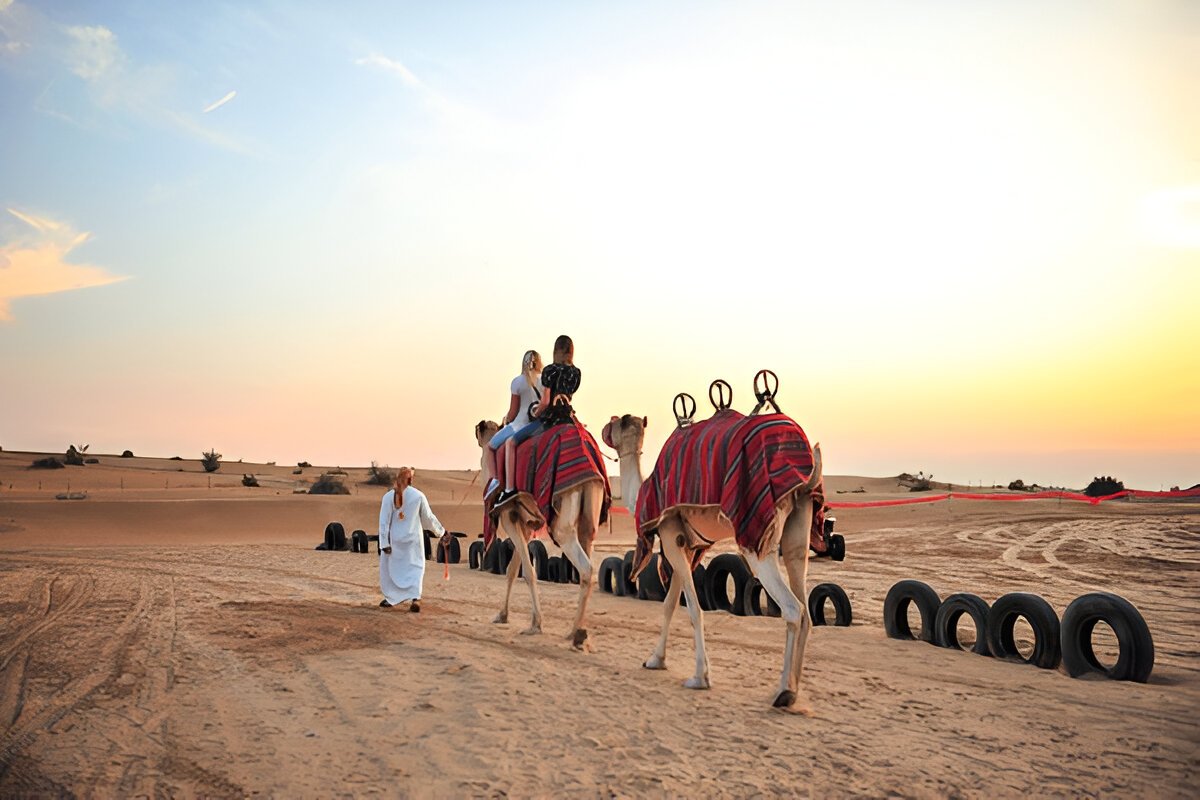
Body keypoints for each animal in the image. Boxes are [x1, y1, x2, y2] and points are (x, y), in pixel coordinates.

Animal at [475, 419, 614, 652]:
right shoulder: (528, 523)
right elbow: (512, 569)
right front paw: (502, 615)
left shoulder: (508, 516)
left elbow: (528, 571)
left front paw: (535, 624)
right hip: (590, 510)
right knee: (587, 551)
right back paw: (576, 631)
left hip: (562, 518)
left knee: (586, 567)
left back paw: (577, 634)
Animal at [604, 379, 830, 710]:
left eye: (617, 422)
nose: (604, 427)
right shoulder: (684, 547)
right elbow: (669, 605)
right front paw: (655, 659)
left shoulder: (670, 536)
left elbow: (693, 609)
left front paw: (699, 677)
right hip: (798, 529)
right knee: (805, 605)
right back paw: (793, 691)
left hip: (757, 538)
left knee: (793, 608)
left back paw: (782, 692)